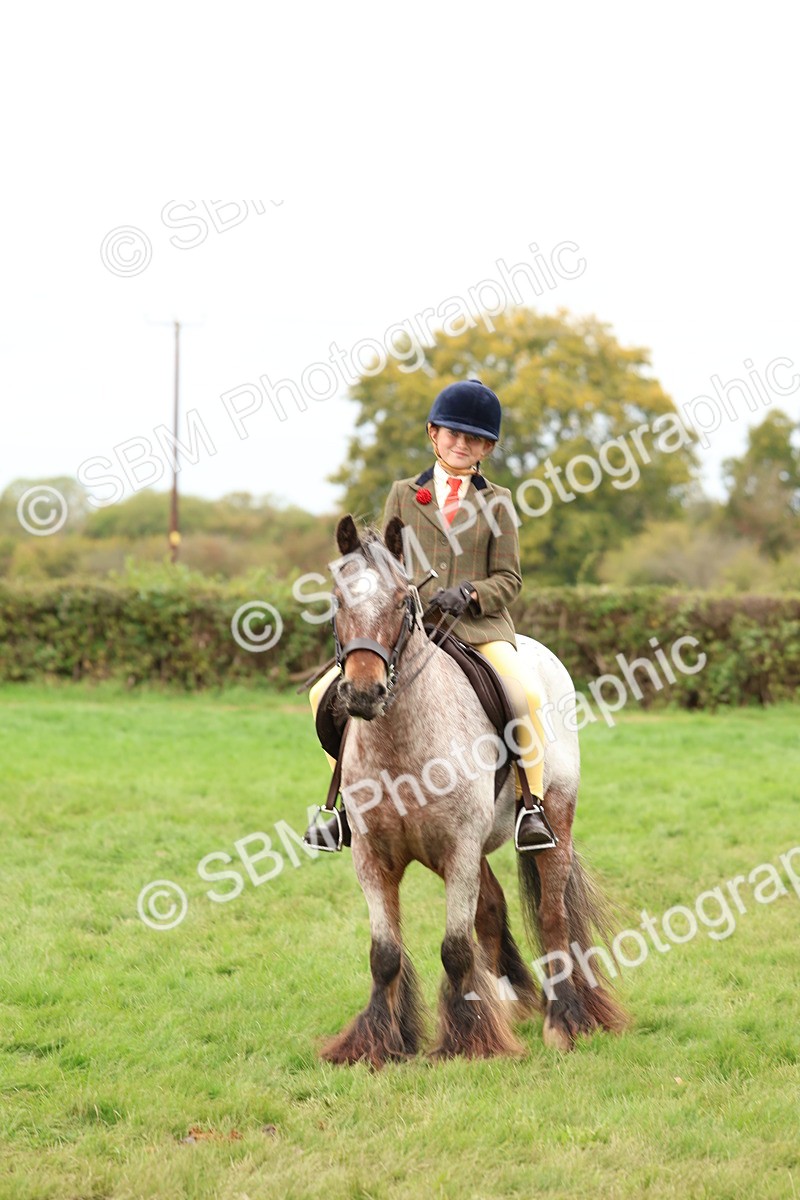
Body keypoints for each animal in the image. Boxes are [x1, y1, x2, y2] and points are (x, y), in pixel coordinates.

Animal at [317, 514, 627, 1066]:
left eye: (403, 601)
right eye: (337, 600)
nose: (364, 693)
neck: (401, 743)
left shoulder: (459, 850)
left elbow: (455, 947)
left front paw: (469, 1041)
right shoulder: (373, 856)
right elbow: (385, 953)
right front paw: (377, 1044)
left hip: (553, 820)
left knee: (552, 915)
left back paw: (563, 1020)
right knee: (492, 910)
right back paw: (510, 1000)